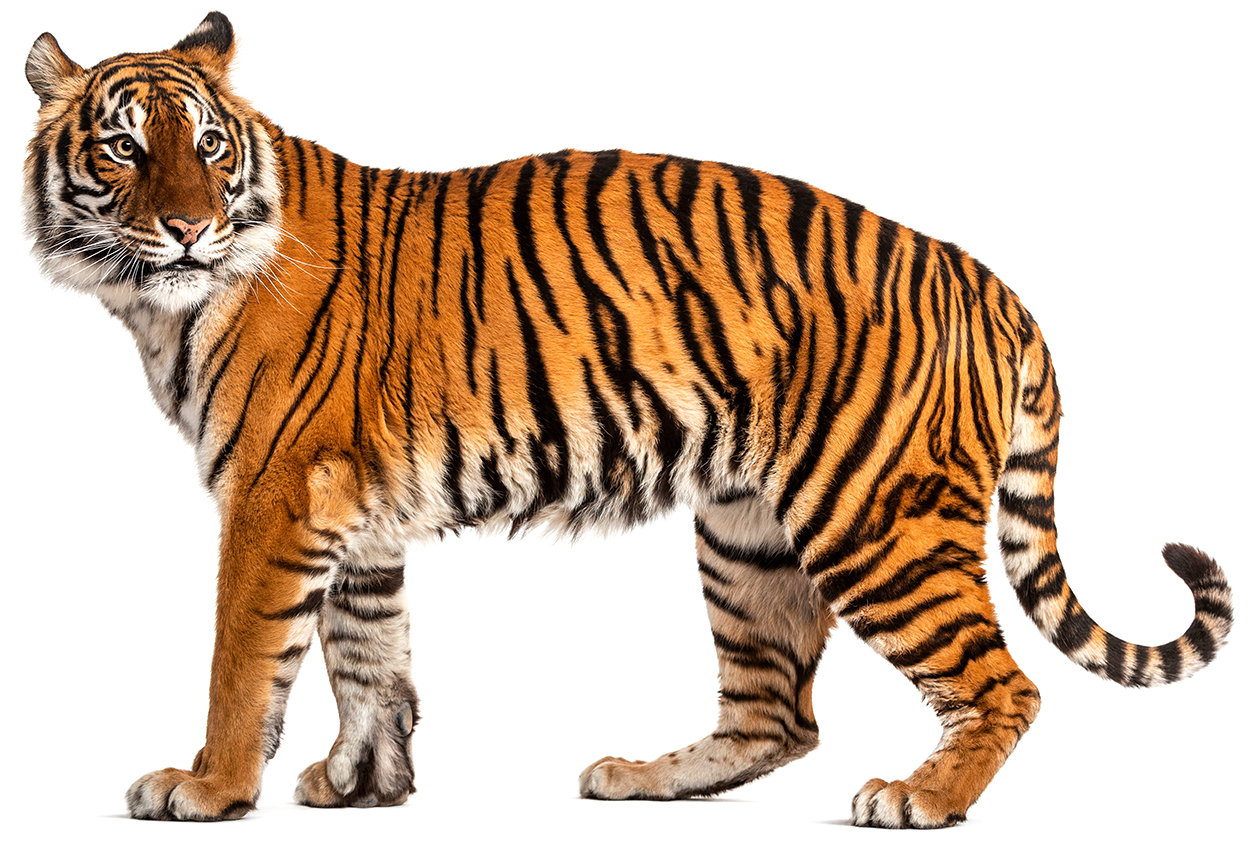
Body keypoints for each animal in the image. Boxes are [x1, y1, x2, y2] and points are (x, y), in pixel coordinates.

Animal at [22, 12, 1233, 827]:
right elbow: (366, 650)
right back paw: (642, 777)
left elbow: (243, 656)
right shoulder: (350, 507)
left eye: (208, 146)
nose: (188, 227)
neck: (160, 302)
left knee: (1001, 683)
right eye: (125, 147)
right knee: (775, 716)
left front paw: (208, 785)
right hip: (746, 535)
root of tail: (985, 278)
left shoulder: (275, 492)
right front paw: (365, 783)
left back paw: (917, 797)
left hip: (874, 518)